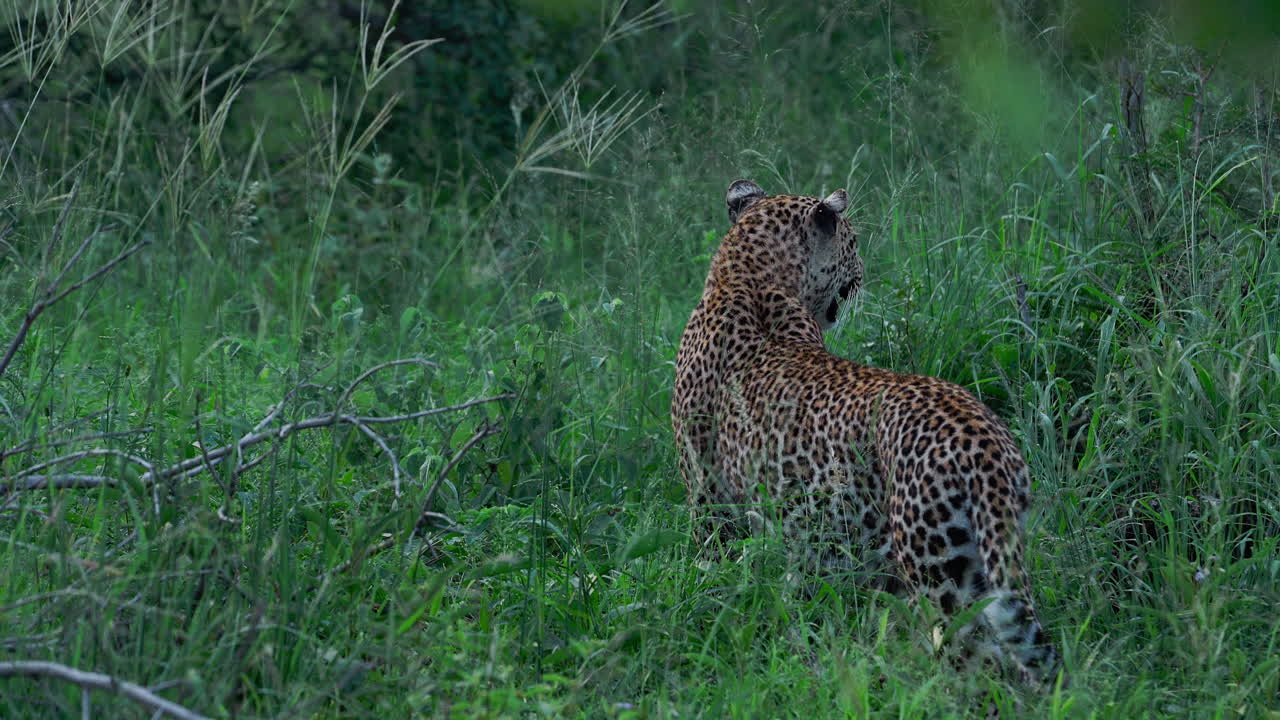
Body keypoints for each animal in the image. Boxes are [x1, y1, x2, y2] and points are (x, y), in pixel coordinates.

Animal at [671, 178, 1064, 687]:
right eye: (853, 242)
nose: (863, 273)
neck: (747, 276)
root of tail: (981, 441)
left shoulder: (709, 497)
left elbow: (715, 570)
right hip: (988, 559)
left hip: (939, 572)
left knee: (973, 664)